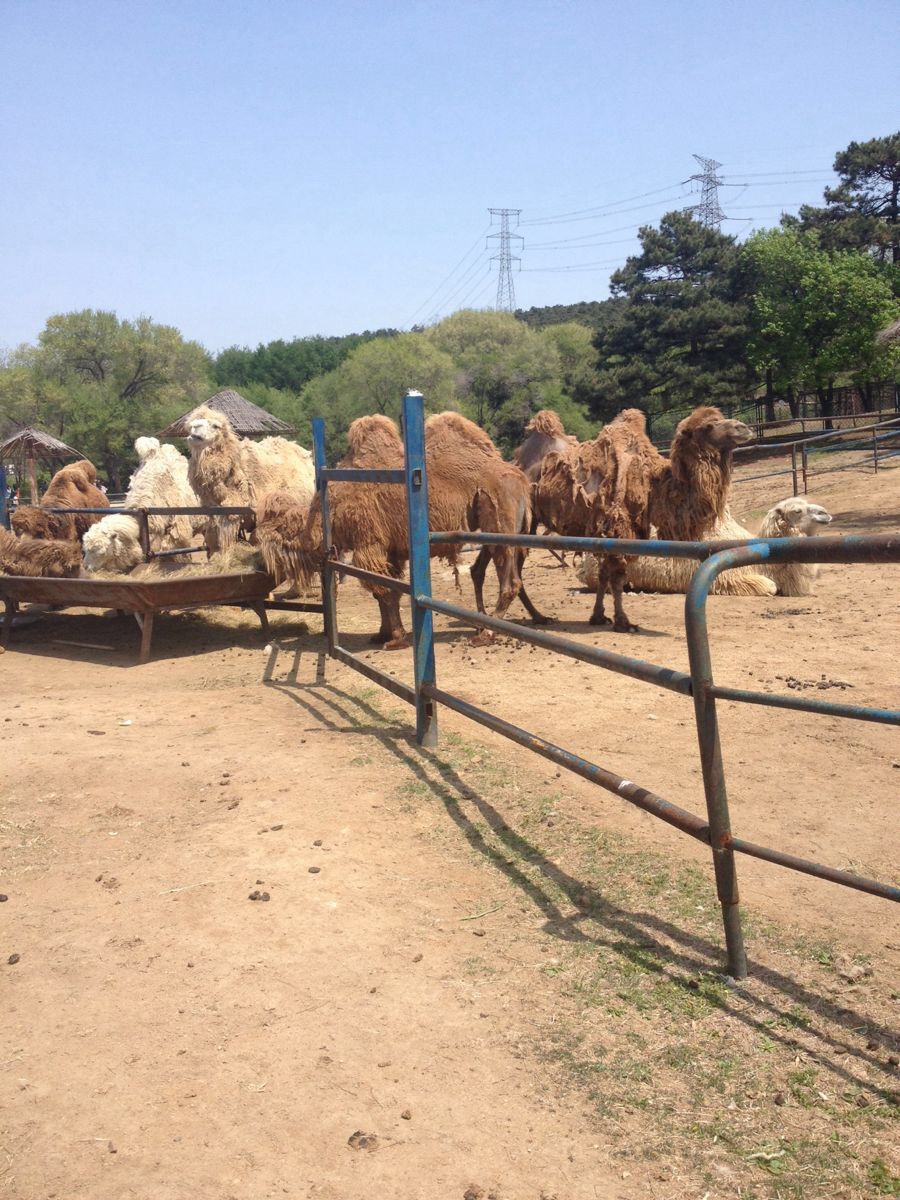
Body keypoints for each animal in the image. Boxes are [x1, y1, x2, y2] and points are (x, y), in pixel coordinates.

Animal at [254, 410, 549, 648]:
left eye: (268, 518)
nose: (254, 541)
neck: (329, 507)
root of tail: (522, 480)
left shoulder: (368, 544)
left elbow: (383, 590)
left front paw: (394, 639)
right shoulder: (390, 550)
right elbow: (389, 590)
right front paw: (383, 634)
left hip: (499, 522)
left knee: (509, 581)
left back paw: (486, 634)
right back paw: (487, 626)